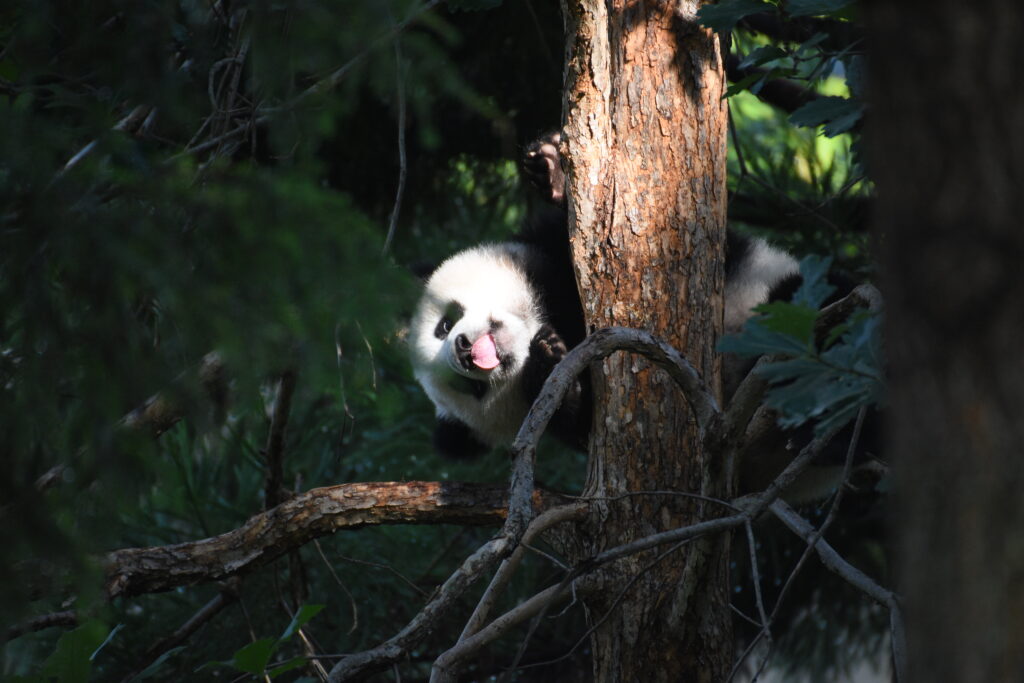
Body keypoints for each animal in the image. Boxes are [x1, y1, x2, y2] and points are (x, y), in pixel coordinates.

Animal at [410, 132, 804, 460]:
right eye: (470, 389)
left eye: (444, 324)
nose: (463, 350)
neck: (549, 318)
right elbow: (574, 421)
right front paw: (549, 363)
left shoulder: (545, 251)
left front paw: (552, 171)